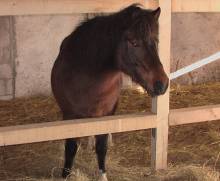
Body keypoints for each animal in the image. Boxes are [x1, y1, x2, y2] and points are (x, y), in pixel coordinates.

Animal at [51, 3, 168, 180]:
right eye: (133, 42)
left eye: (155, 41)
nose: (162, 84)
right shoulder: (70, 116)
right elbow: (70, 147)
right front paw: (65, 174)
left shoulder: (106, 114)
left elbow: (102, 146)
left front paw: (102, 175)